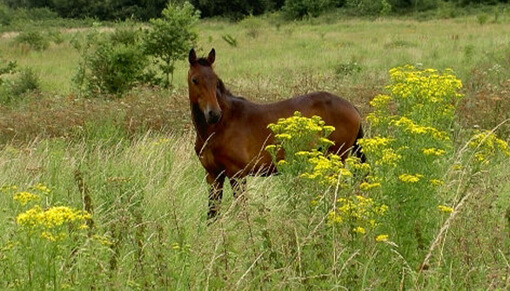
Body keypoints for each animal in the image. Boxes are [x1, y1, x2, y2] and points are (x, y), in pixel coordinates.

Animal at [187, 48, 366, 221]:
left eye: (215, 80)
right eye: (195, 80)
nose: (213, 114)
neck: (220, 126)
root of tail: (352, 107)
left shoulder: (236, 174)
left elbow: (243, 212)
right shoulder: (213, 176)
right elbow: (212, 214)